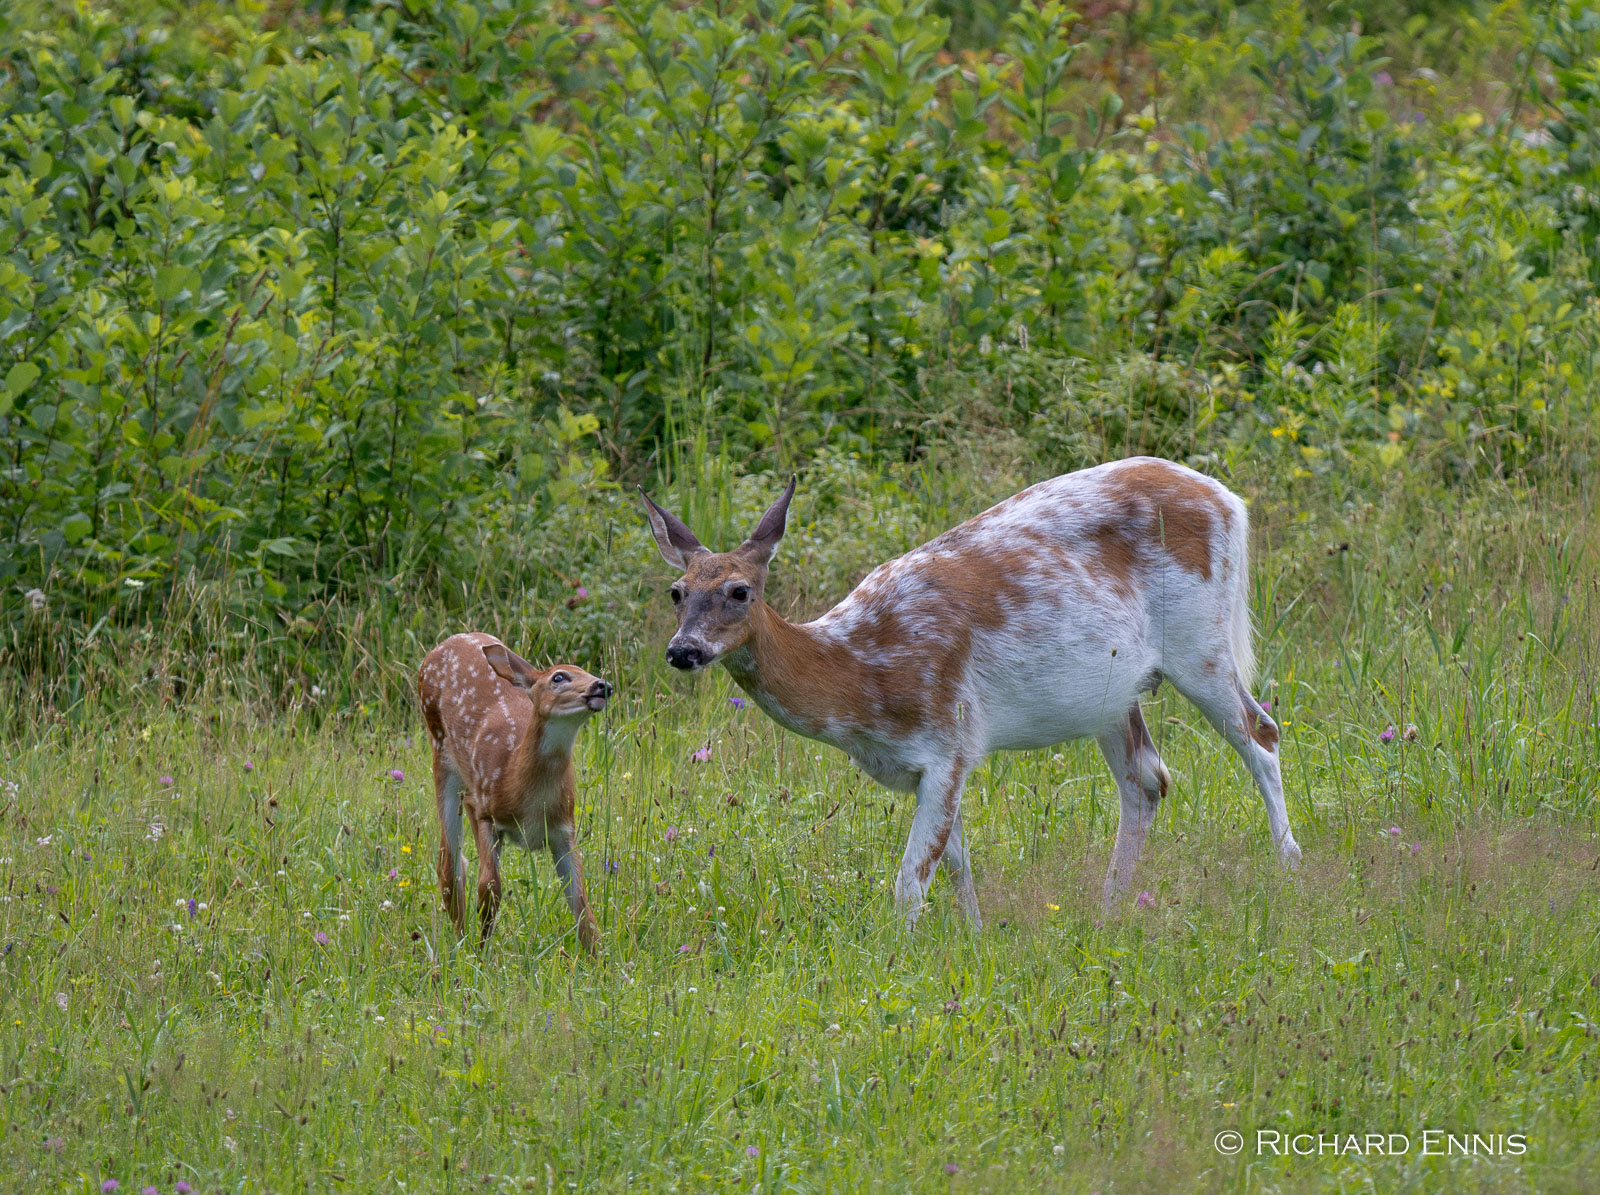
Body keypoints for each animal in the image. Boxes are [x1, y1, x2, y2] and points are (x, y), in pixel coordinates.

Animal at [416, 630, 608, 947]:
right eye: (558, 677)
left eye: (589, 671)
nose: (602, 685)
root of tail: (448, 641)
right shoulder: (481, 805)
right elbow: (488, 886)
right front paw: (481, 951)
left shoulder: (564, 828)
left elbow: (581, 904)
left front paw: (597, 956)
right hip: (441, 753)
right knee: (450, 867)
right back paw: (458, 943)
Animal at [640, 457, 1299, 927]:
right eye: (676, 591)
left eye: (739, 591)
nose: (682, 651)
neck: (859, 677)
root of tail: (1230, 500)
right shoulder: (925, 766)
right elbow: (955, 862)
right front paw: (975, 936)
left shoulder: (949, 737)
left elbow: (911, 879)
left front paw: (897, 958)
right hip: (1115, 694)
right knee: (1148, 780)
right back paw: (1108, 910)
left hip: (1200, 641)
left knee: (1261, 734)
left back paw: (1289, 870)